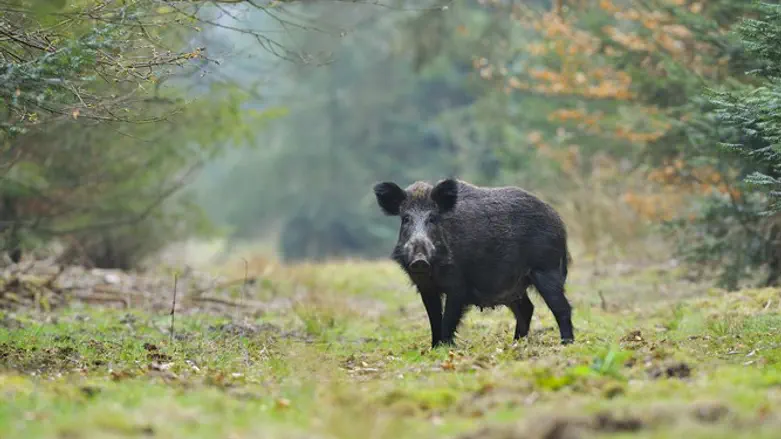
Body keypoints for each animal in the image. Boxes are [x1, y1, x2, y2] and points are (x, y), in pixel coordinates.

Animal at [373, 178, 574, 347]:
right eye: (406, 218)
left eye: (432, 218)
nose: (419, 260)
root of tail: (558, 221)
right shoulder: (426, 287)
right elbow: (434, 318)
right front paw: (434, 348)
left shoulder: (458, 285)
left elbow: (449, 318)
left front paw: (446, 347)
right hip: (515, 286)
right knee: (526, 308)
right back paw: (515, 343)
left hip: (546, 268)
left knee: (562, 307)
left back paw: (566, 343)